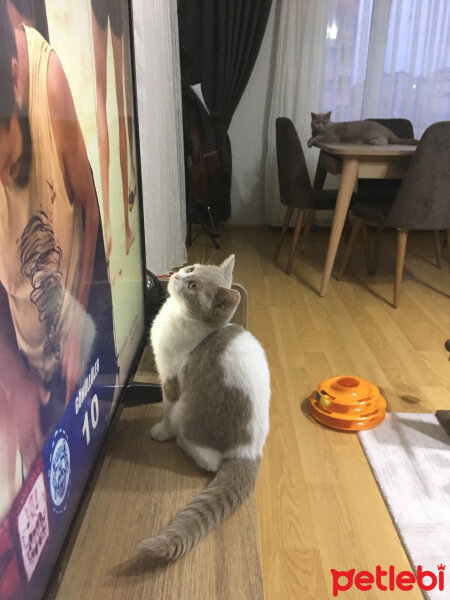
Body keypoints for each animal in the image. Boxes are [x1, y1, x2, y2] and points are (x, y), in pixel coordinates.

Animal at [139, 255, 268, 560]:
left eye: (193, 285)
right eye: (190, 269)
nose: (177, 276)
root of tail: (249, 451)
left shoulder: (170, 380)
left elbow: (165, 410)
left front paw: (160, 431)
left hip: (189, 412)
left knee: (208, 461)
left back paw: (180, 441)